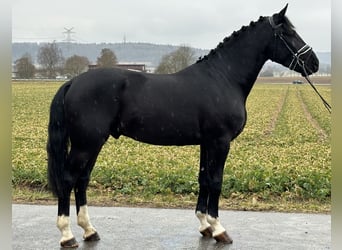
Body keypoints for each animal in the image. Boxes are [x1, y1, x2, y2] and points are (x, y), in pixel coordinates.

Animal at [48, 4, 318, 247]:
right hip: (85, 144)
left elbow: (204, 179)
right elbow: (216, 181)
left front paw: (205, 226)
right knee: (68, 178)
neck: (222, 78)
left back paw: (89, 230)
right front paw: (219, 230)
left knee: (82, 179)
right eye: (288, 34)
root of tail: (73, 82)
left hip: (93, 143)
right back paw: (67, 235)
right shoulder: (220, 142)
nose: (313, 63)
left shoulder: (207, 143)